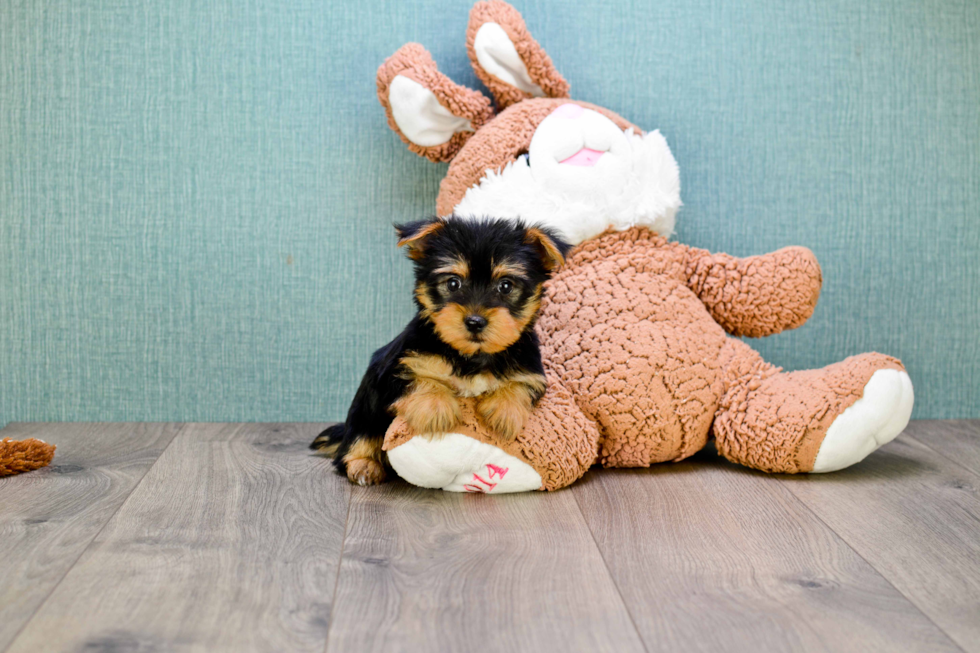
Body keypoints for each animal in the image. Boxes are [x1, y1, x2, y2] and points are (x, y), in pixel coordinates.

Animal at [310, 215, 572, 484]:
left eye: (506, 286)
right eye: (453, 283)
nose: (475, 321)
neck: (470, 355)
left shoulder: (531, 370)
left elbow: (520, 385)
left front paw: (504, 411)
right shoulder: (396, 367)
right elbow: (419, 379)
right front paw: (436, 409)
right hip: (364, 409)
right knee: (359, 437)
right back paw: (364, 464)